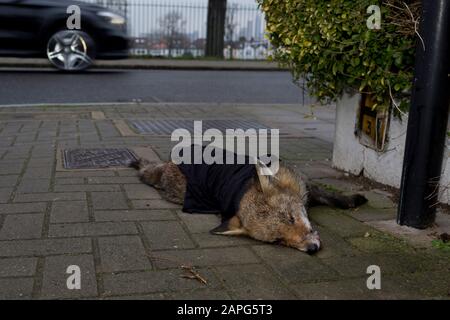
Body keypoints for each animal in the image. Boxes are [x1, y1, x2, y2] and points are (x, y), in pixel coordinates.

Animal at [128, 154, 368, 254]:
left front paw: (354, 200)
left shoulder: (305, 186)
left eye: (292, 218)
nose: (312, 249)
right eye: (279, 241)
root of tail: (172, 163)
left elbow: (333, 198)